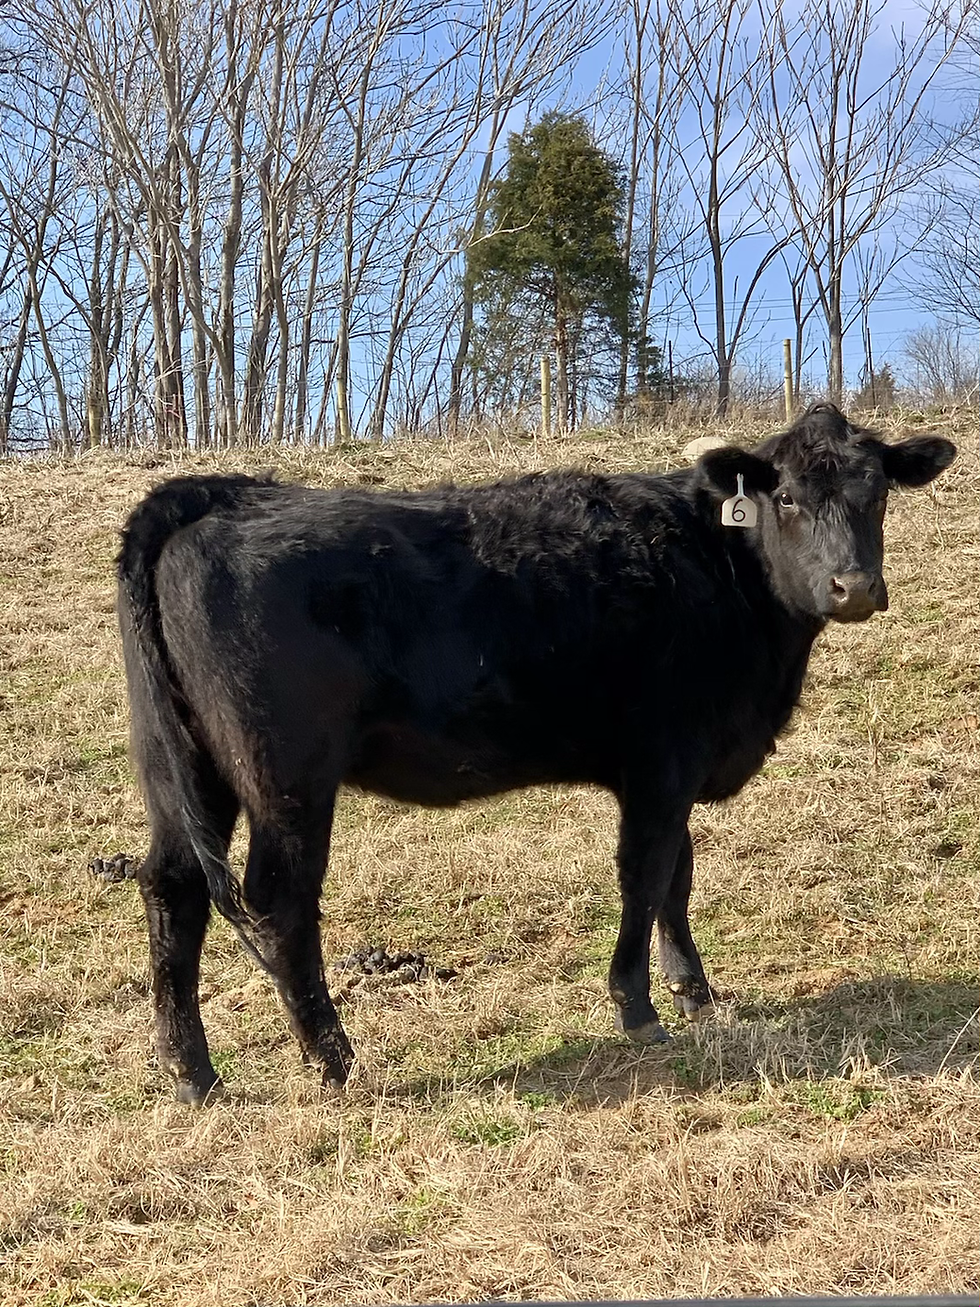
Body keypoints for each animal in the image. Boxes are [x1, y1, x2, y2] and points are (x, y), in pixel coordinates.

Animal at [117, 403, 955, 1104]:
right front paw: (638, 1006)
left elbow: (678, 879)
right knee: (278, 901)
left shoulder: (675, 768)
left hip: (179, 766)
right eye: (785, 498)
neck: (722, 573)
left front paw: (696, 993)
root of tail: (217, 494)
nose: (854, 586)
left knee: (172, 888)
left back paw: (192, 1072)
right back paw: (334, 1059)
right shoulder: (663, 760)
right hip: (285, 776)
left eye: (878, 493)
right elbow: (646, 875)